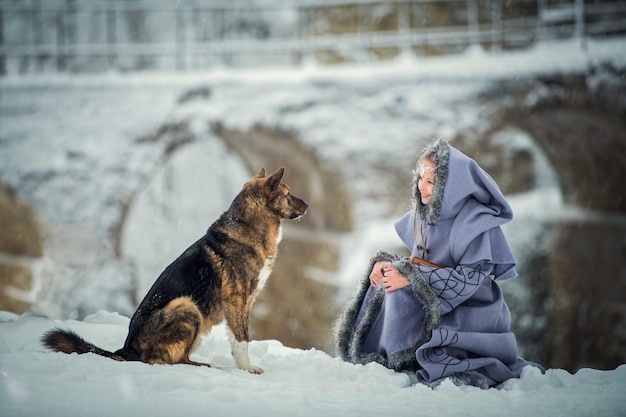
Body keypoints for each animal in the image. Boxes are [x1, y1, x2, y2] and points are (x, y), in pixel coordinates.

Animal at [41, 167, 308, 376]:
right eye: (287, 193)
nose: (308, 205)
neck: (247, 225)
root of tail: (128, 349)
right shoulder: (238, 301)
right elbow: (241, 339)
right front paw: (247, 368)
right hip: (187, 306)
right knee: (169, 360)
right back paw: (205, 366)